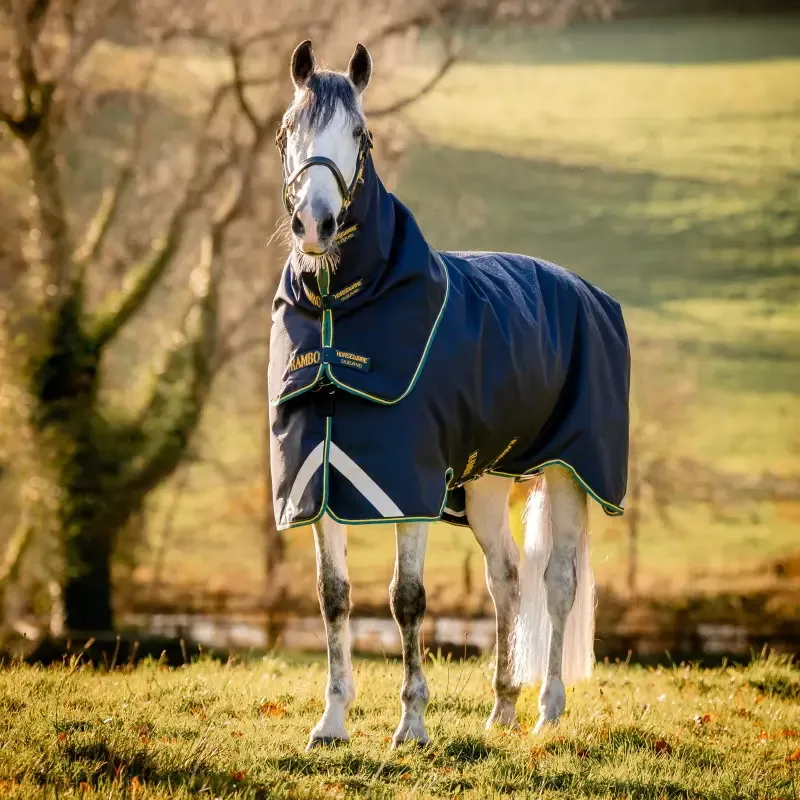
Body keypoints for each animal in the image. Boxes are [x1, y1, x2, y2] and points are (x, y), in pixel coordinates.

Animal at [268, 40, 630, 750]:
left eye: (362, 134)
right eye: (290, 128)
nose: (315, 224)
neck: (342, 312)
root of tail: (585, 291)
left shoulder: (406, 487)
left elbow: (406, 598)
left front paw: (411, 724)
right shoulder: (317, 477)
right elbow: (333, 595)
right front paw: (331, 722)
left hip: (570, 472)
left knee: (558, 583)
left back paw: (547, 710)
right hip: (485, 483)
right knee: (506, 579)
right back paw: (502, 708)